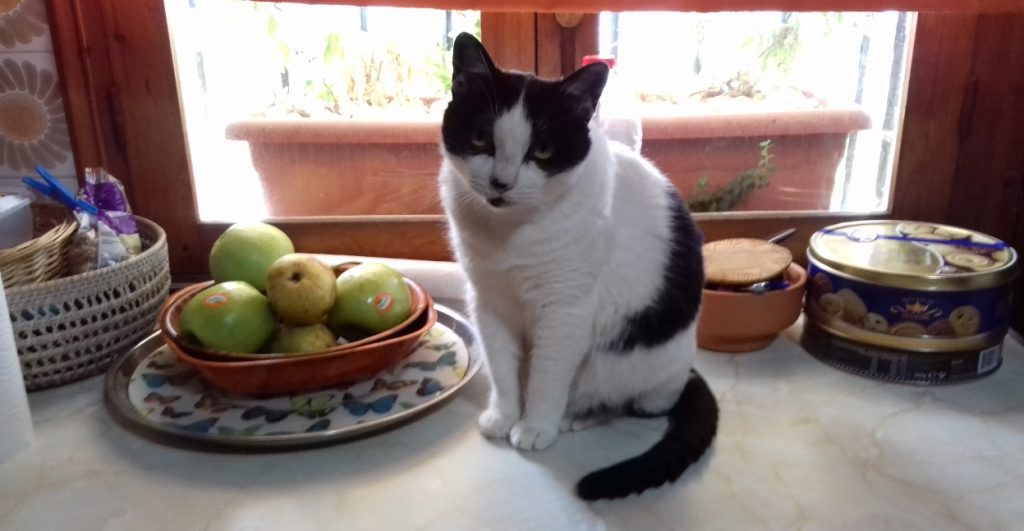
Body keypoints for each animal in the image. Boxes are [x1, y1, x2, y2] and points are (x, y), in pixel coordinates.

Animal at [438, 33, 718, 501]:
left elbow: (547, 375)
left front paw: (534, 425)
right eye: (479, 139)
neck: (511, 234)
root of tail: (688, 372)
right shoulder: (488, 302)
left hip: (638, 365)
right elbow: (501, 366)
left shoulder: (564, 313)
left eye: (542, 150)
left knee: (632, 403)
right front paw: (505, 414)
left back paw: (578, 413)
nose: (501, 183)